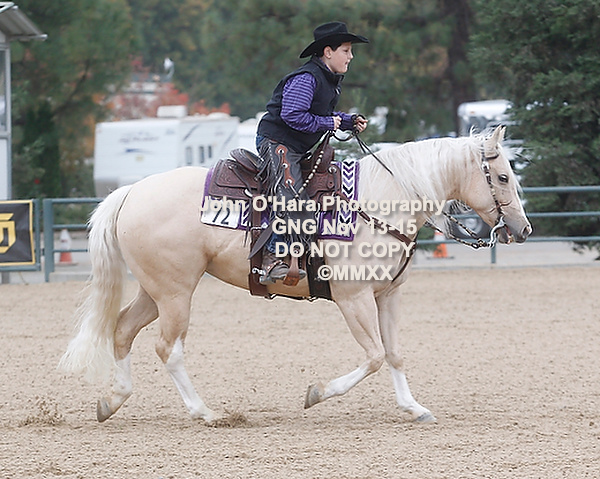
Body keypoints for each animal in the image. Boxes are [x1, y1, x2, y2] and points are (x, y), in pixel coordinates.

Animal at [59, 126, 531, 424]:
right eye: (502, 176)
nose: (524, 230)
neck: (382, 201)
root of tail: (130, 192)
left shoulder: (387, 296)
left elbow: (394, 354)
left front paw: (414, 408)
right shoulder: (353, 298)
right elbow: (374, 356)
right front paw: (317, 393)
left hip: (156, 290)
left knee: (122, 329)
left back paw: (113, 401)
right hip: (176, 293)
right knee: (168, 349)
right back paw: (206, 413)